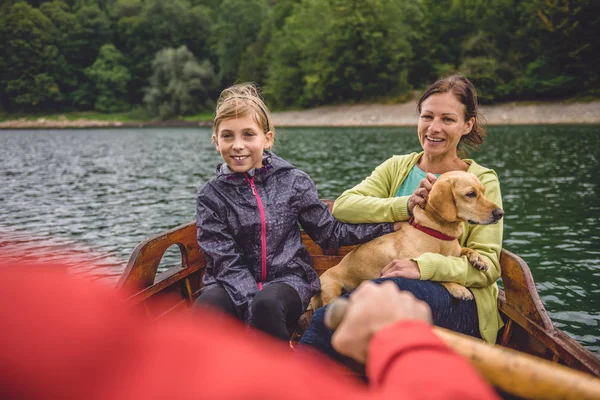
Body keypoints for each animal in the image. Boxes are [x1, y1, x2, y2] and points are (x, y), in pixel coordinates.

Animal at [312, 170, 504, 308]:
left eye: (483, 192)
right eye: (471, 194)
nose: (500, 213)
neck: (439, 234)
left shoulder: (455, 251)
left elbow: (466, 249)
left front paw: (479, 259)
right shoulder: (408, 261)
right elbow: (431, 273)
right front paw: (458, 288)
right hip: (332, 288)